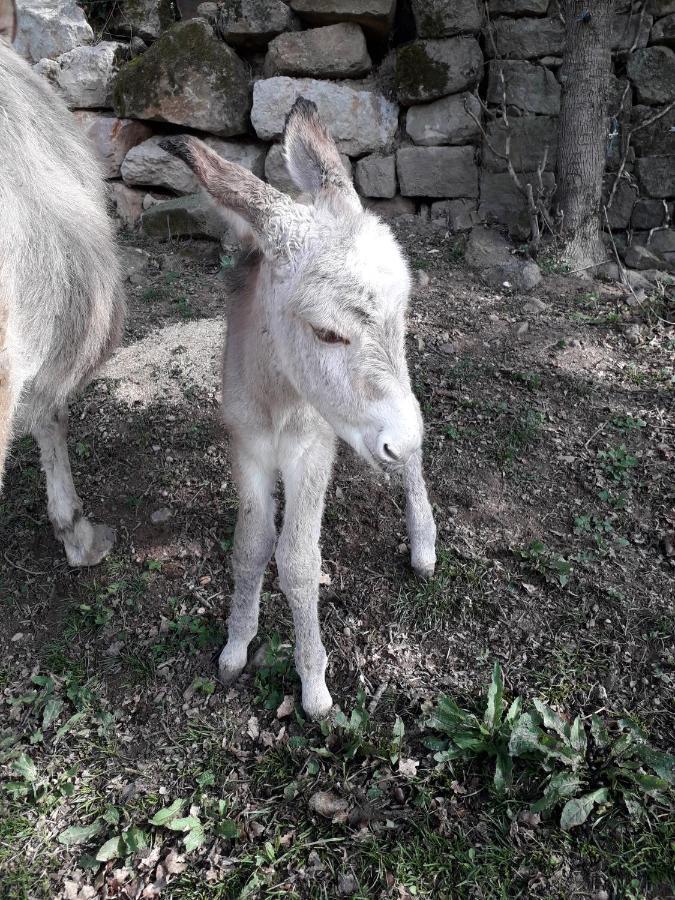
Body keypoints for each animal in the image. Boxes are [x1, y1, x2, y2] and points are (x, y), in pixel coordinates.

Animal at [164, 100, 438, 716]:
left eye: (399, 314)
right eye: (327, 333)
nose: (391, 440)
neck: (277, 395)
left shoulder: (311, 449)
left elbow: (297, 561)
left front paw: (313, 683)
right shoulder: (246, 445)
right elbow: (250, 547)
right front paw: (235, 647)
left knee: (414, 433)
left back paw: (424, 542)